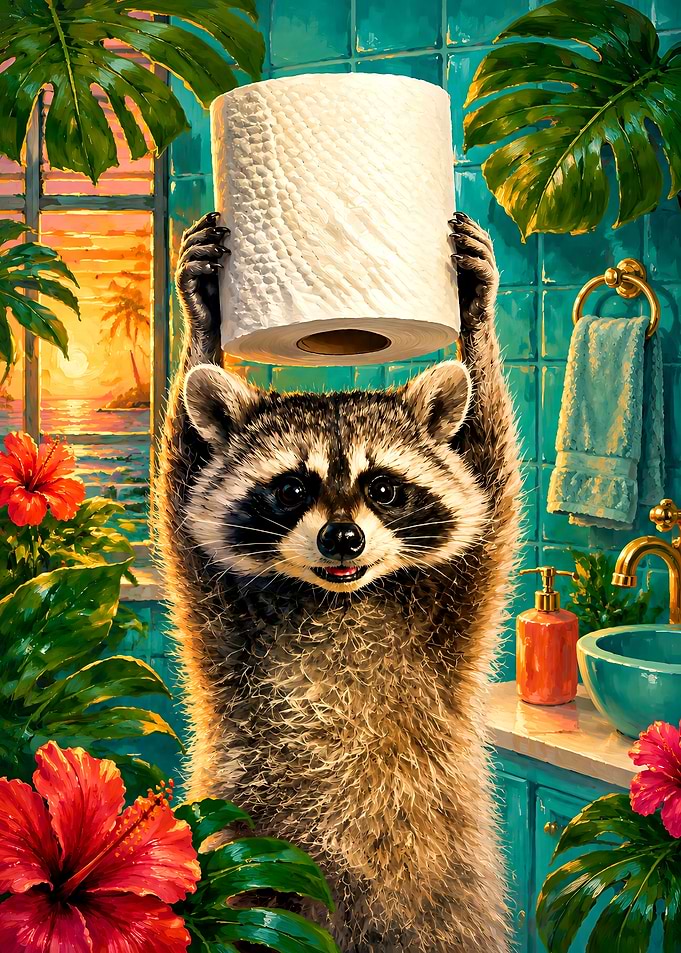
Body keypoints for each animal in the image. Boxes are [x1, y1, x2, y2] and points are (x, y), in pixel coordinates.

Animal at [156, 210, 522, 953]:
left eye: (382, 487)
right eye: (291, 488)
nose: (343, 539)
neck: (338, 596)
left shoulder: (454, 600)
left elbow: (489, 471)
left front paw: (475, 314)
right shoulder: (218, 604)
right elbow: (183, 481)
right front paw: (201, 314)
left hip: (446, 906)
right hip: (246, 883)